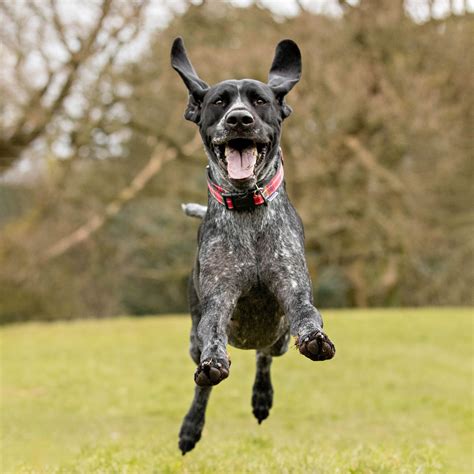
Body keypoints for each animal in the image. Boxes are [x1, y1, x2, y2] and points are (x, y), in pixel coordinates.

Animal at [169, 37, 334, 456]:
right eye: (219, 102)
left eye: (260, 101)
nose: (239, 120)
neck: (246, 209)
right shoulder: (218, 300)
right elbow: (213, 339)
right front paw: (214, 364)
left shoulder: (292, 289)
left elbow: (306, 316)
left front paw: (315, 338)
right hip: (193, 341)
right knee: (202, 384)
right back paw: (192, 425)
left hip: (277, 338)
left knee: (264, 356)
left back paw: (262, 397)